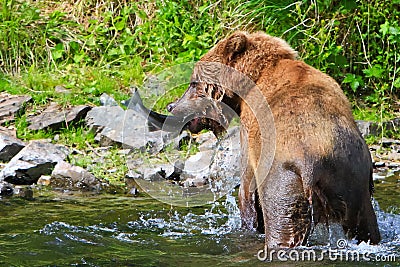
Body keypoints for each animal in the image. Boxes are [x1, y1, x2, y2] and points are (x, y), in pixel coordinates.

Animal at [166, 31, 382, 249]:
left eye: (193, 82)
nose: (171, 105)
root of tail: (312, 165)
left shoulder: (251, 133)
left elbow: (247, 185)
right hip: (351, 177)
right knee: (366, 225)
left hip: (283, 177)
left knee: (282, 220)